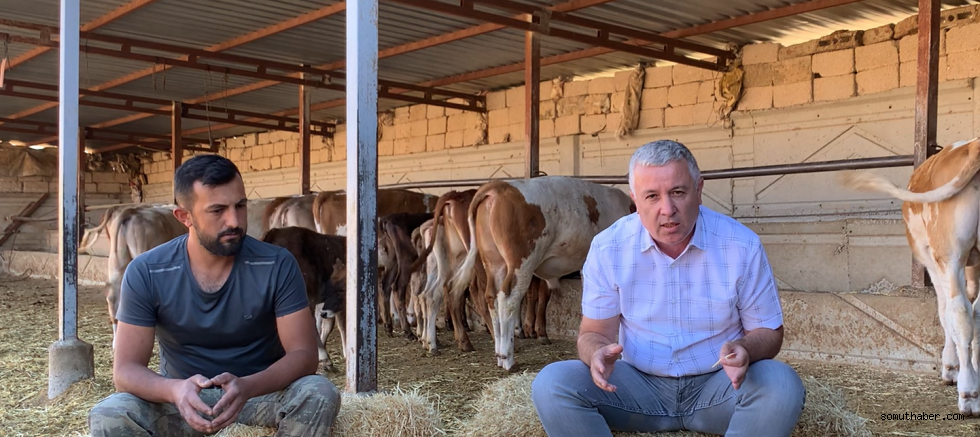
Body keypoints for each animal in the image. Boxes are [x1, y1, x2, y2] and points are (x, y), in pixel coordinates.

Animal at [450, 176, 634, 371]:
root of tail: (500, 186)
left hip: (494, 263)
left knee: (491, 297)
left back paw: (499, 355)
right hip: (522, 262)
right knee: (508, 299)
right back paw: (507, 358)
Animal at [839, 138, 980, 415]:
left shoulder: (933, 259)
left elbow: (946, 313)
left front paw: (951, 368)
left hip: (948, 253)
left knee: (959, 312)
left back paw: (968, 394)